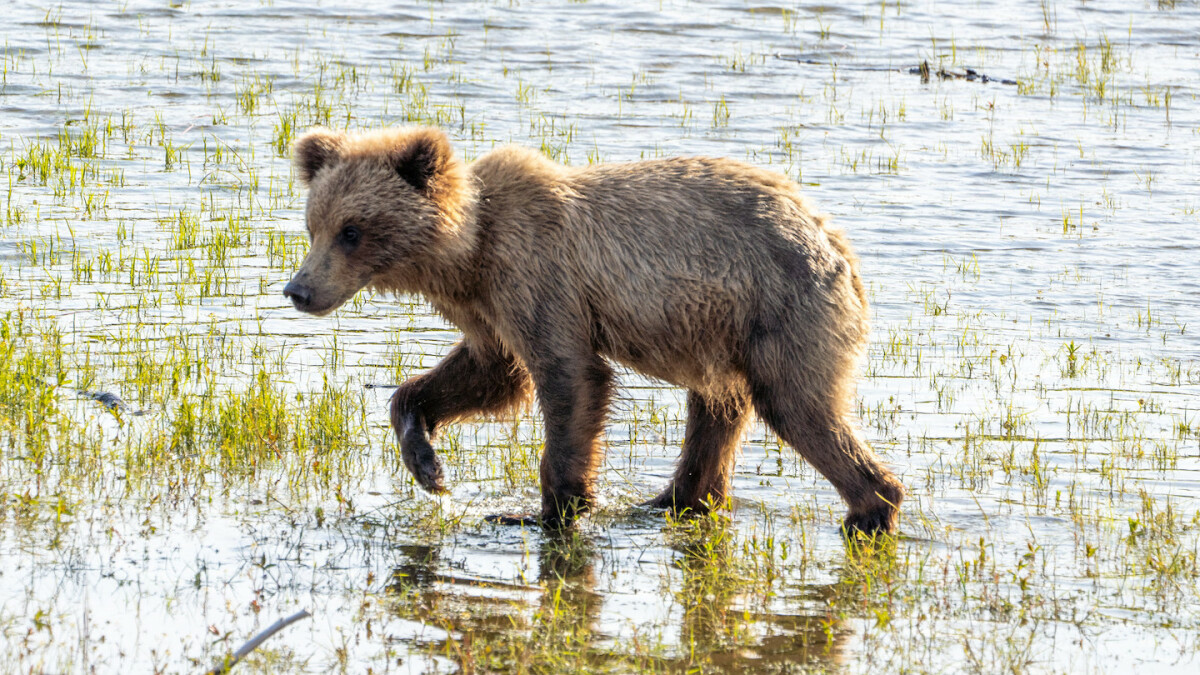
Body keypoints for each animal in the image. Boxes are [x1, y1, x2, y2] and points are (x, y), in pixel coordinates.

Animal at [283, 126, 902, 530]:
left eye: (352, 231)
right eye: (315, 225)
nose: (298, 290)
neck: (471, 253)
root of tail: (839, 244)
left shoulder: (540, 279)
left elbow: (568, 378)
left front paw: (546, 507)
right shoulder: (490, 310)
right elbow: (488, 375)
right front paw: (426, 463)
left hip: (782, 309)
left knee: (798, 407)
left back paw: (872, 506)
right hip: (721, 329)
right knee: (717, 412)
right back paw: (674, 500)